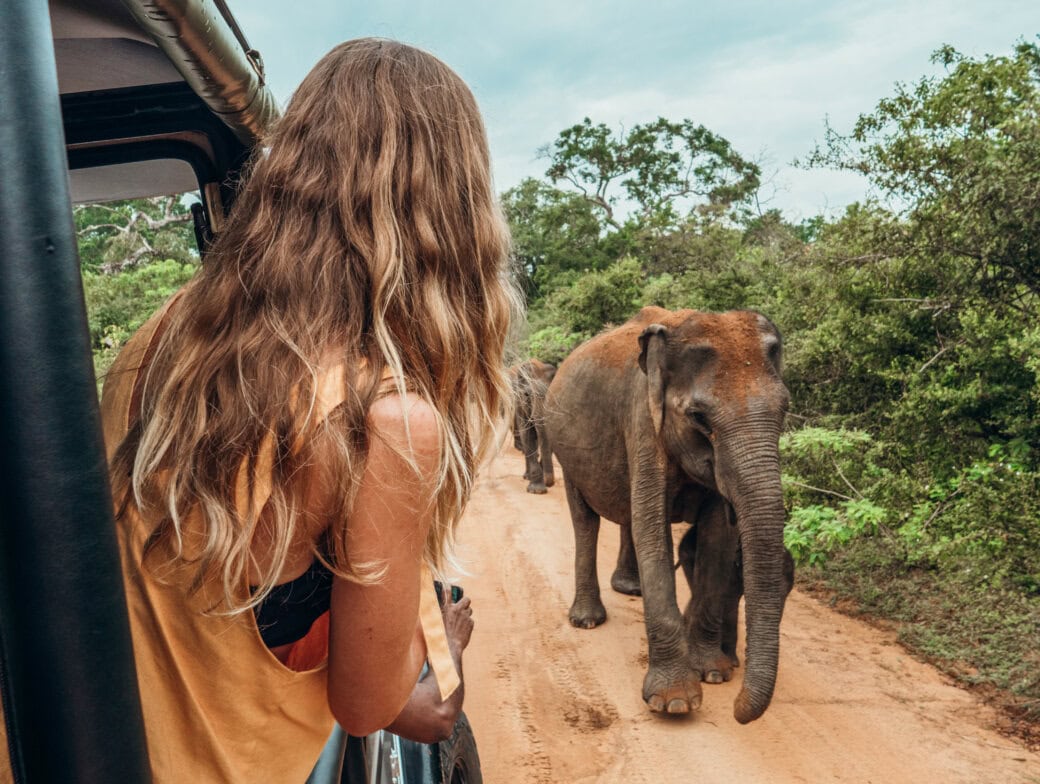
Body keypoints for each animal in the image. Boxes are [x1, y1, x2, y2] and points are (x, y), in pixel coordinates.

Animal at [511, 359, 557, 494]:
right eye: (527, 395)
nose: (549, 484)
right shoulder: (520, 405)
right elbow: (527, 435)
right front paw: (537, 491)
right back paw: (527, 477)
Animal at [545, 306, 794, 724]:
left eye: (785, 408)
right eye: (699, 417)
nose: (738, 712)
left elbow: (716, 537)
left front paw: (713, 673)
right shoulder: (643, 423)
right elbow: (653, 526)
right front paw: (674, 702)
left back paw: (631, 589)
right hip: (566, 450)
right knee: (585, 521)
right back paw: (587, 619)